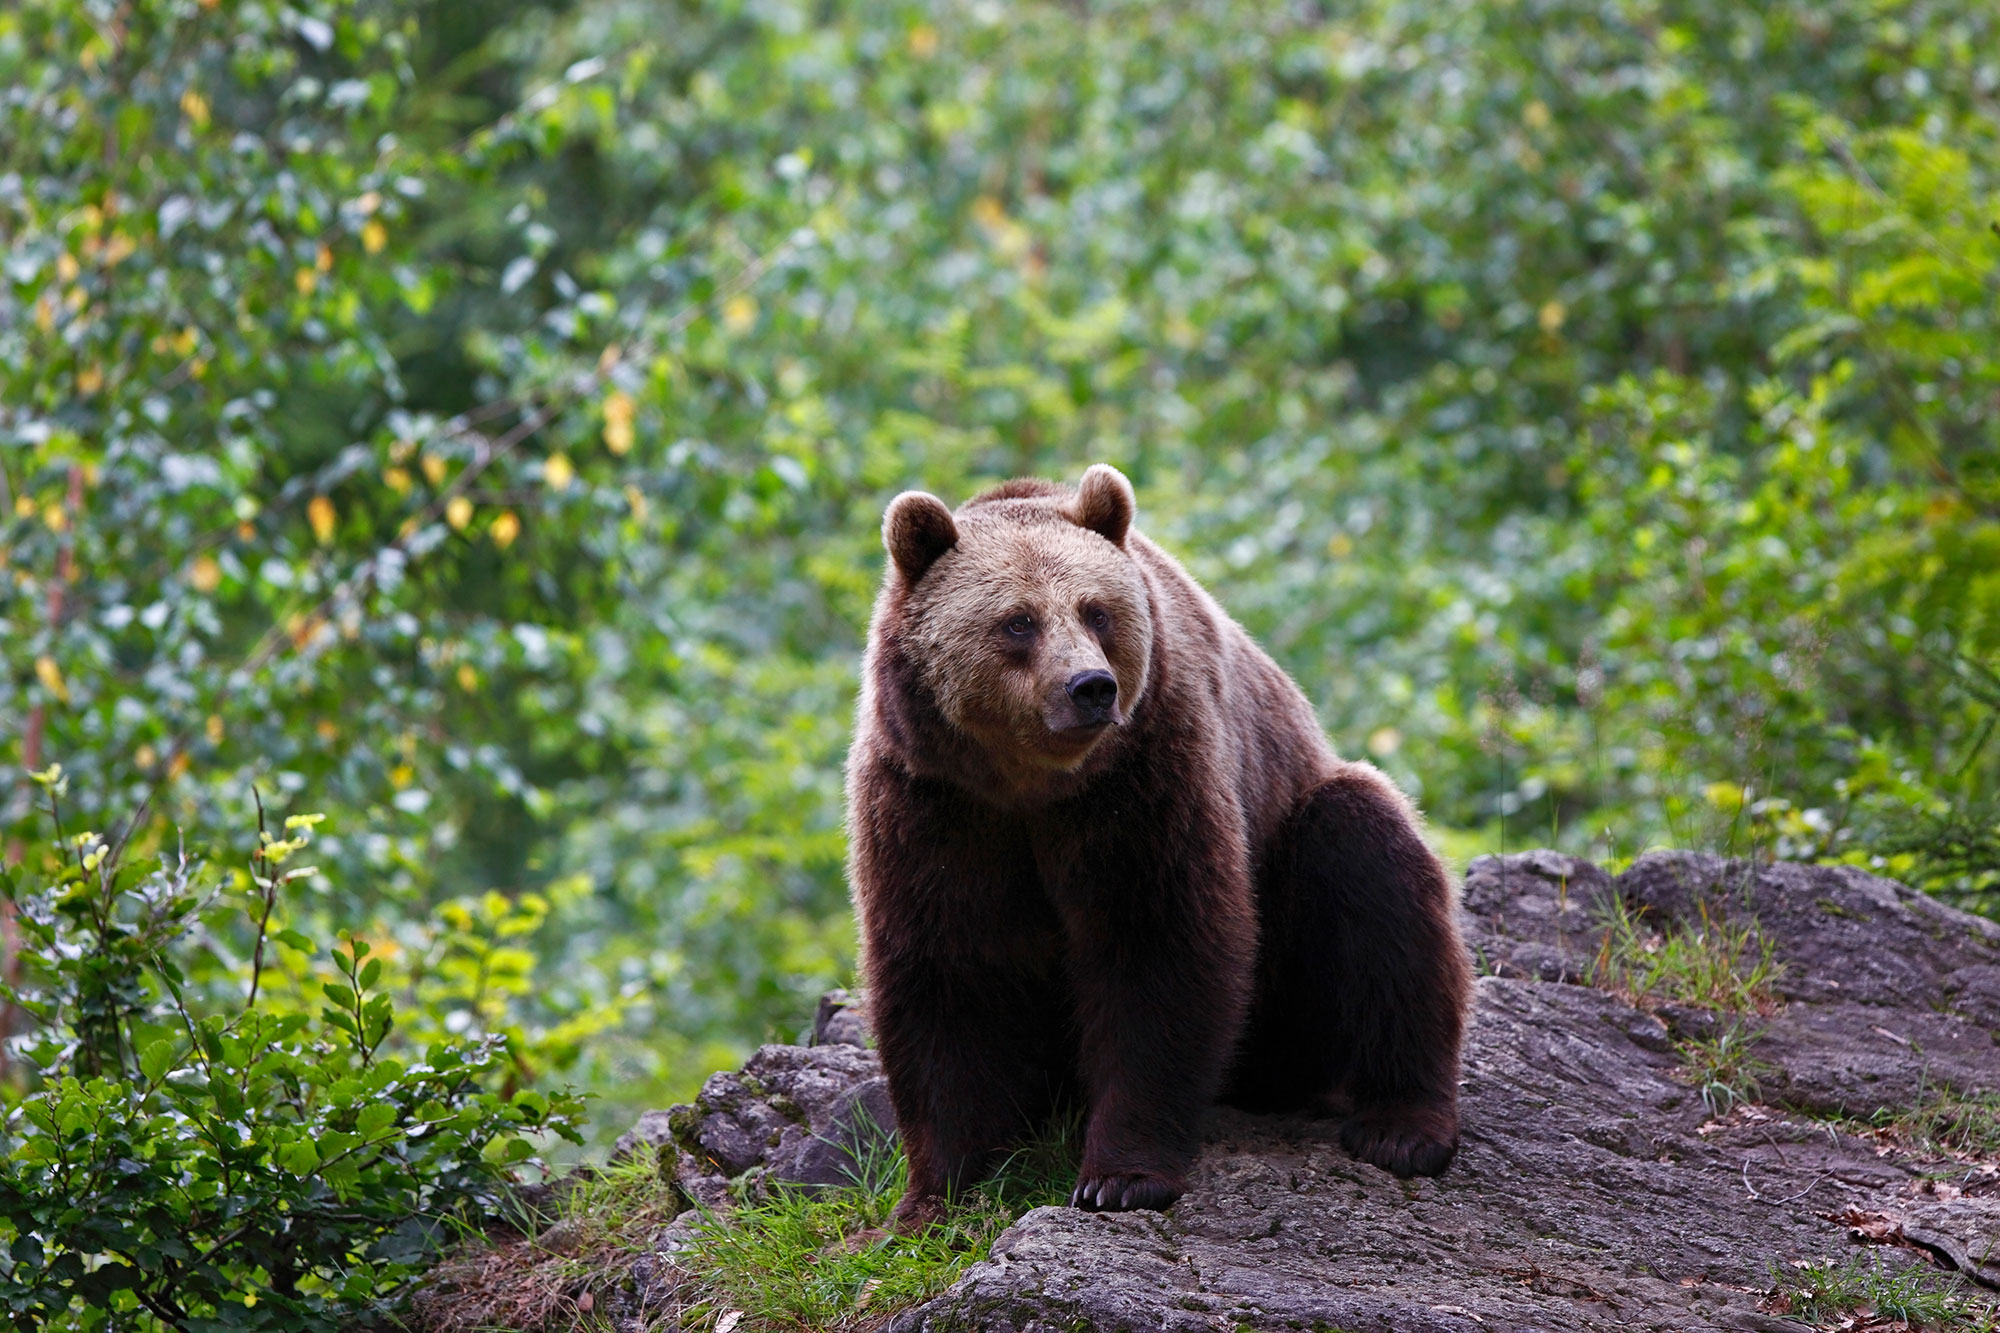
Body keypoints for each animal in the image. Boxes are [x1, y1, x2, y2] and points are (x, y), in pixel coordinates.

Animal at [845, 463, 1471, 1229]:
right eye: (1018, 620)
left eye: (1096, 612)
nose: (1090, 686)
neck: (1032, 787)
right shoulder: (935, 806)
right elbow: (948, 974)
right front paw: (934, 1195)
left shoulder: (1144, 778)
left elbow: (1157, 948)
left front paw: (1120, 1176)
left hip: (1290, 921)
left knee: (1370, 867)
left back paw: (1401, 1125)